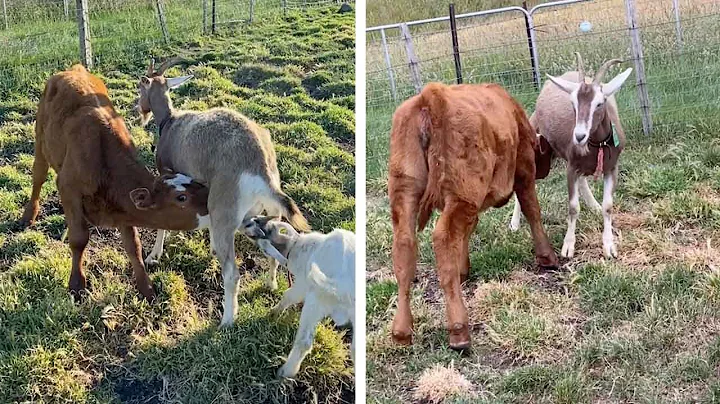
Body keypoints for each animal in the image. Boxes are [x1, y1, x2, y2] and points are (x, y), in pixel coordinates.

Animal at [19, 64, 210, 301]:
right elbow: (79, 238)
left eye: (196, 182)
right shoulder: (67, 187)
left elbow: (133, 246)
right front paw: (76, 285)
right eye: (181, 197)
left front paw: (147, 288)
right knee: (38, 175)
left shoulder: (122, 205)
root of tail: (74, 69)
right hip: (40, 137)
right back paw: (28, 215)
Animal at [136, 58, 310, 327]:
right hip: (267, 214)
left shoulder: (168, 176)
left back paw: (227, 321)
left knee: (232, 274)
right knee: (272, 248)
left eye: (140, 87)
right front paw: (210, 247)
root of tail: (260, 169)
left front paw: (154, 255)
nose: (138, 110)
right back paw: (270, 283)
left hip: (227, 212)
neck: (171, 122)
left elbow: (162, 222)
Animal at [241, 215, 354, 378]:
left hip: (315, 301)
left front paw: (273, 313)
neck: (298, 247)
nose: (249, 221)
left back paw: (285, 372)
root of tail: (342, 287)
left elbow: (288, 295)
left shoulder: (302, 284)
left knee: (304, 342)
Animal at [389, 82, 558, 350]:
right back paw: (459, 330)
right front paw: (547, 257)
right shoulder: (524, 171)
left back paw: (401, 332)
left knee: (405, 245)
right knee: (444, 237)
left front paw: (462, 270)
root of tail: (432, 96)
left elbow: (467, 232)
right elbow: (532, 210)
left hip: (406, 191)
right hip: (463, 194)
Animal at [509, 53, 632, 259]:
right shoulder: (571, 168)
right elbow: (573, 207)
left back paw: (594, 205)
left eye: (600, 103)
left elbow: (608, 206)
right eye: (573, 103)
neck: (596, 145)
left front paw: (609, 246)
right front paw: (568, 246)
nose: (579, 136)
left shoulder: (611, 168)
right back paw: (514, 224)